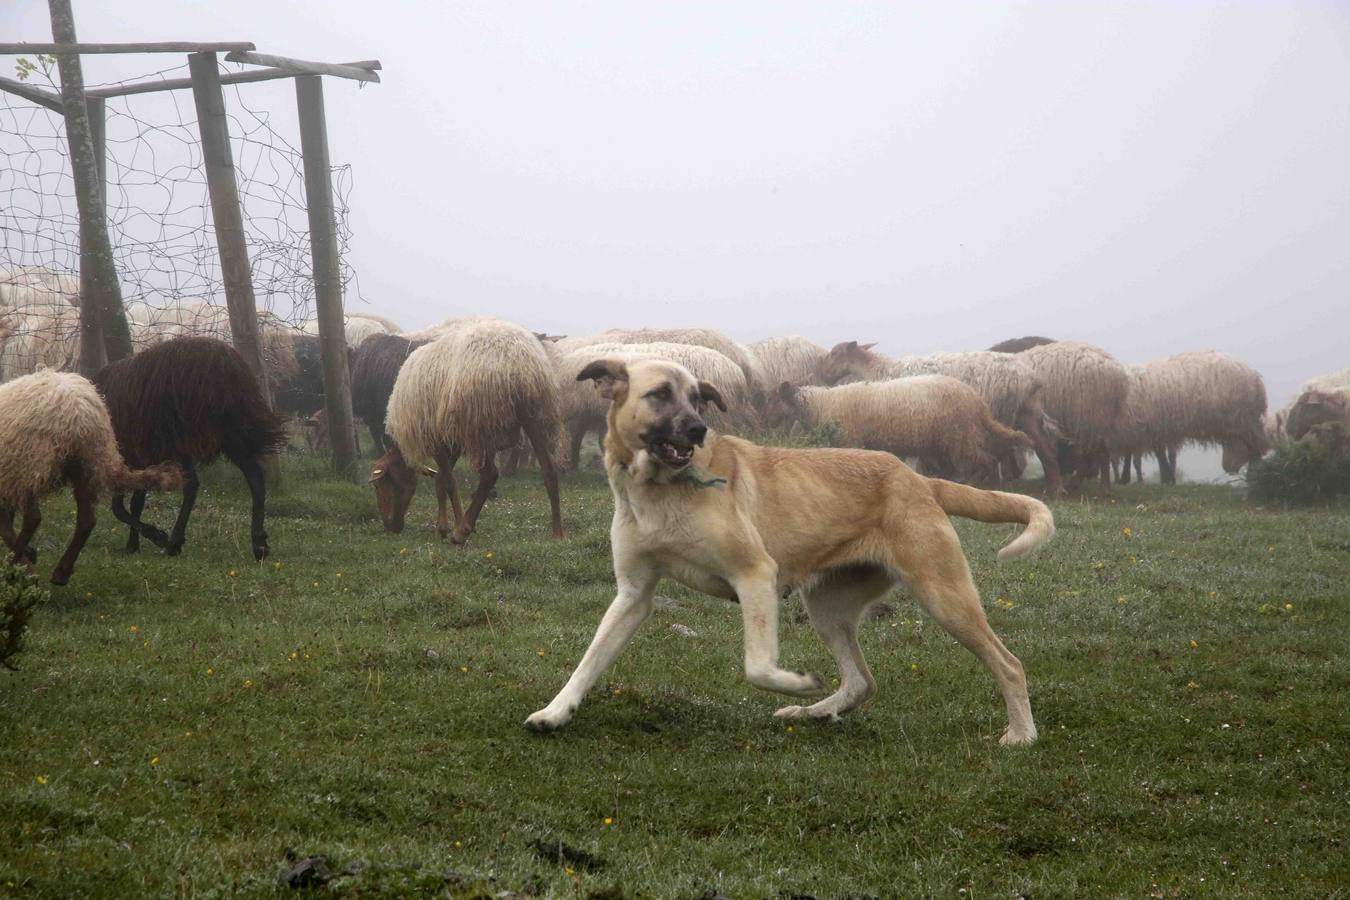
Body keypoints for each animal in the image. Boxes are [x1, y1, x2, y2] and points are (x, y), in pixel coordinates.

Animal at [93, 337, 288, 564]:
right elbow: (136, 503)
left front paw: (156, 537)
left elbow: (119, 509)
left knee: (192, 485)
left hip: (181, 437)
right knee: (255, 477)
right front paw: (133, 545)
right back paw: (259, 544)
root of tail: (227, 367)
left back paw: (174, 542)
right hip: (234, 433)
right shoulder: (141, 458)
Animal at [372, 318, 561, 542]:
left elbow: (449, 482)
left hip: (479, 424)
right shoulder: (453, 441)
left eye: (378, 485)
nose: (391, 527)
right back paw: (558, 532)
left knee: (490, 474)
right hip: (531, 415)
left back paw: (462, 532)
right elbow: (440, 480)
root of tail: (519, 361)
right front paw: (443, 526)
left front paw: (457, 524)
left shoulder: (437, 438)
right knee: (549, 469)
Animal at [766, 375, 1026, 485]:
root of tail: (979, 403)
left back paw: (989, 484)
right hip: (945, 442)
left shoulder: (851, 440)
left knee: (988, 460)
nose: (766, 418)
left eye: (775, 398)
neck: (820, 404)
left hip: (959, 436)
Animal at [1020, 341, 1128, 493]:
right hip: (1098, 420)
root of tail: (1120, 376)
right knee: (1100, 452)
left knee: (1094, 453)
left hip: (1089, 417)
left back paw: (1090, 486)